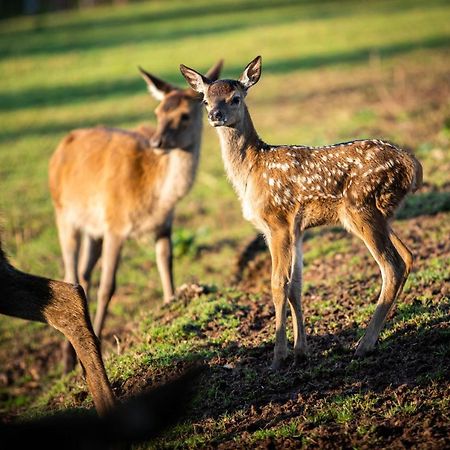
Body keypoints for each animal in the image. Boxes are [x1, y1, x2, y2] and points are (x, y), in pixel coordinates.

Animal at [48, 59, 223, 370]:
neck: (155, 198)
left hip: (92, 228)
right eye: (158, 112)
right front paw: (99, 346)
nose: (157, 142)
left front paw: (172, 307)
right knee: (70, 273)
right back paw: (68, 362)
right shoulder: (115, 225)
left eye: (185, 115)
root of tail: (61, 146)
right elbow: (108, 286)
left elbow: (166, 269)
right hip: (64, 215)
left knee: (83, 274)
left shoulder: (164, 226)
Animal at [179, 56, 422, 370]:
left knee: (391, 266)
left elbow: (277, 284)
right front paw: (300, 351)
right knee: (407, 256)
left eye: (235, 98)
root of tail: (412, 164)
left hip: (361, 208)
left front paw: (278, 357)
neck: (252, 170)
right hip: (381, 213)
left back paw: (364, 345)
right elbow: (296, 285)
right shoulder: (295, 228)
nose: (215, 115)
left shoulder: (277, 221)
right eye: (205, 100)